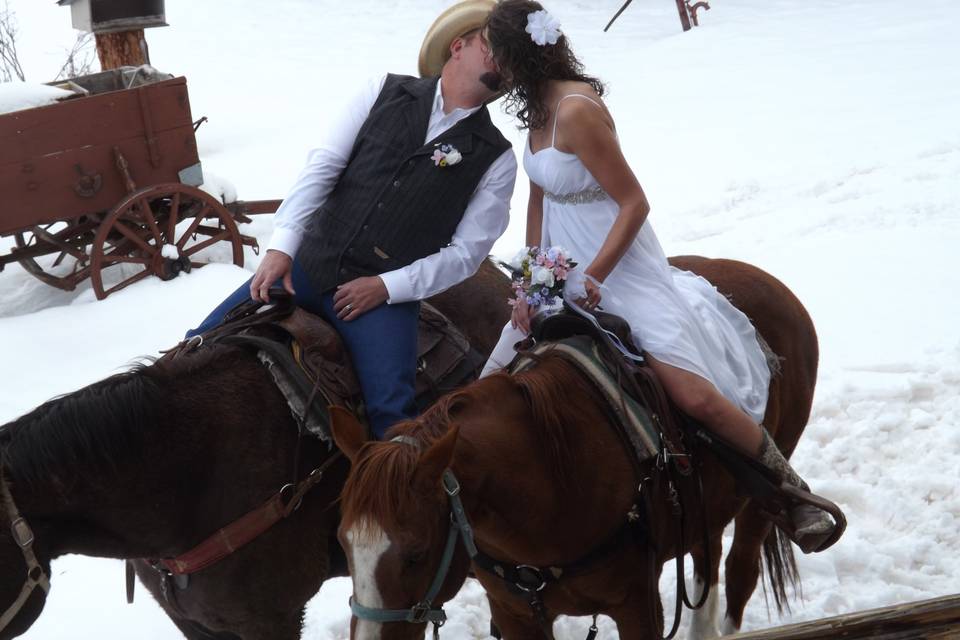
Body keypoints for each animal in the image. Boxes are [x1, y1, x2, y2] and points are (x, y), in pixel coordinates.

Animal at [334, 256, 820, 640]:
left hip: (764, 489)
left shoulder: (636, 604)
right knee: (708, 556)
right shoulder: (514, 615)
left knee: (741, 567)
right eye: (344, 545)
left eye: (415, 554)